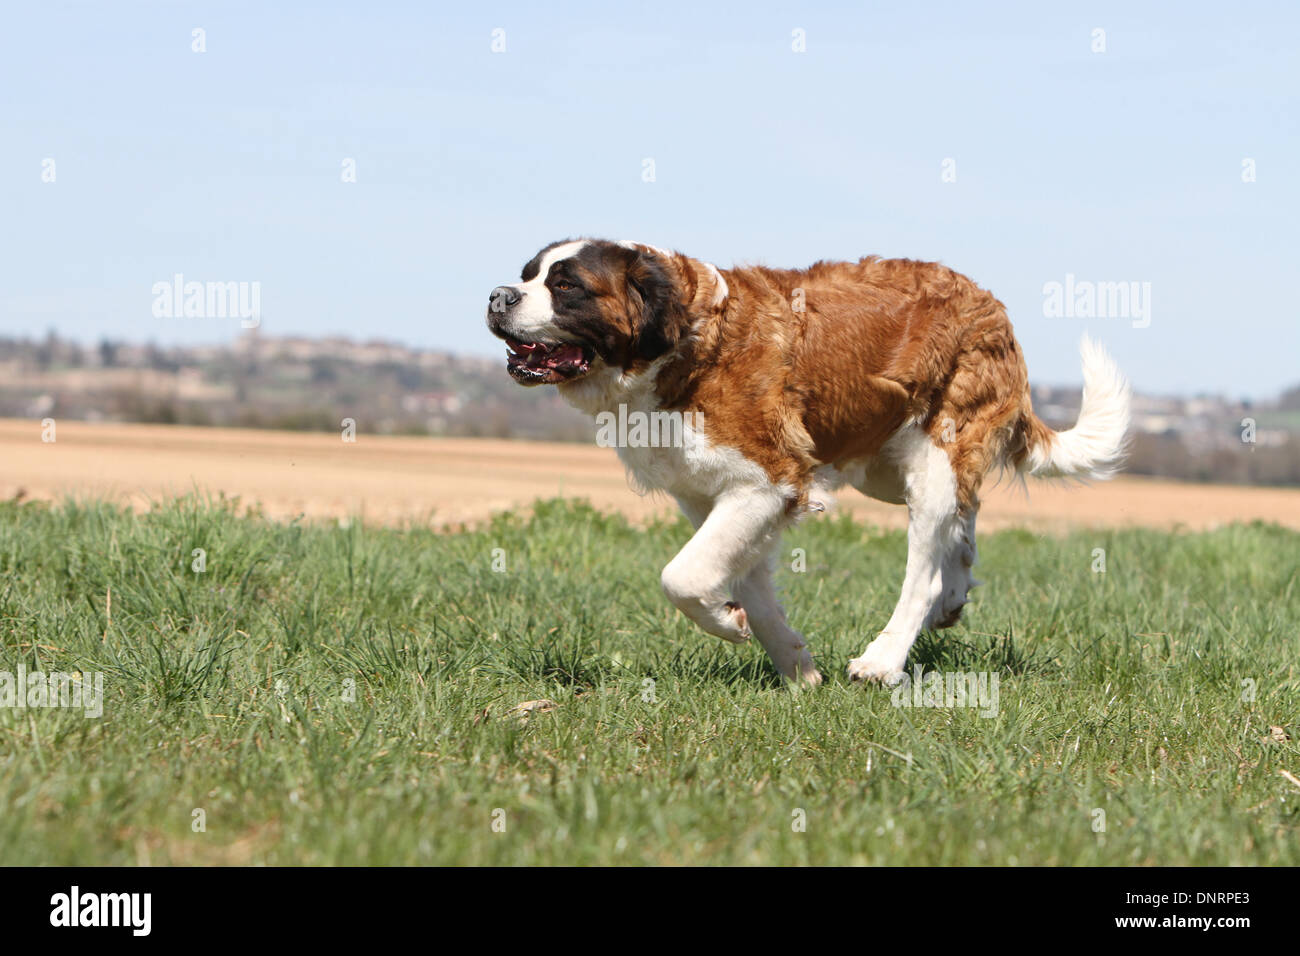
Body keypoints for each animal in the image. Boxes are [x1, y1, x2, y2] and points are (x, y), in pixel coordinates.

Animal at [486, 239, 1128, 686]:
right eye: (527, 275)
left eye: (566, 286)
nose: (497, 295)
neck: (685, 344)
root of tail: (992, 306)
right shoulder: (712, 496)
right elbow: (746, 582)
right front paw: (795, 666)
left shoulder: (765, 482)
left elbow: (683, 576)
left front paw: (729, 624)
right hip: (886, 468)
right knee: (963, 527)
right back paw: (952, 597)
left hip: (935, 455)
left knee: (924, 566)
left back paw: (883, 659)